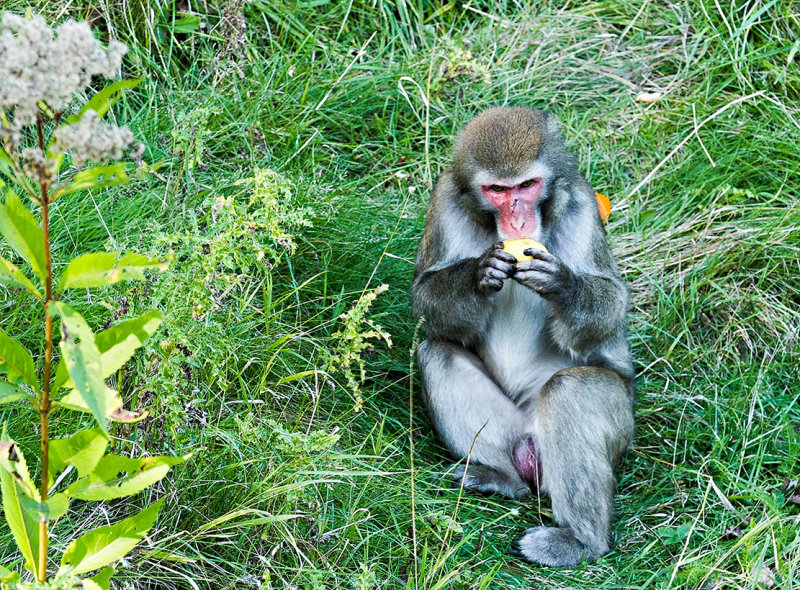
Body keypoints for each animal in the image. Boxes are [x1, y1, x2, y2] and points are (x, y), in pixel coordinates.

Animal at [412, 107, 632, 568]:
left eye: (527, 186)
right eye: (498, 190)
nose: (517, 218)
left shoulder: (582, 205)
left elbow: (610, 302)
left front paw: (563, 286)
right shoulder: (444, 202)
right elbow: (425, 298)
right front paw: (478, 275)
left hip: (621, 425)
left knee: (571, 389)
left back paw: (580, 541)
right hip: (515, 431)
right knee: (436, 352)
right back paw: (504, 478)